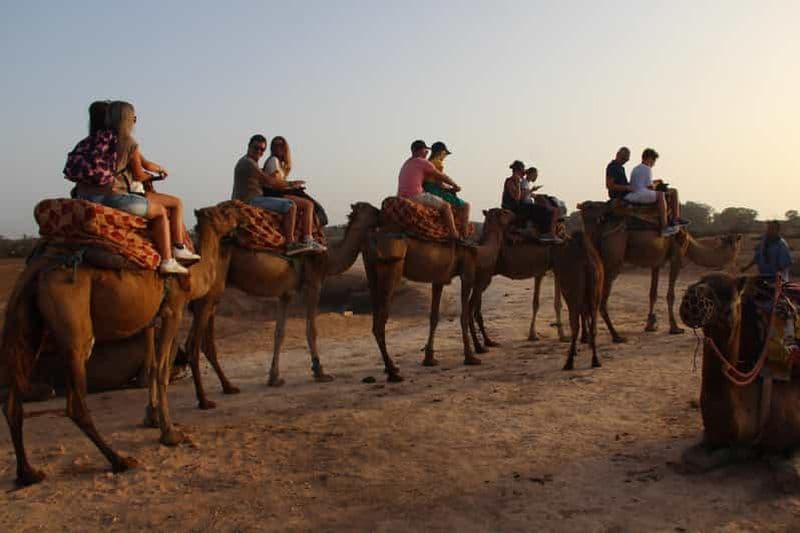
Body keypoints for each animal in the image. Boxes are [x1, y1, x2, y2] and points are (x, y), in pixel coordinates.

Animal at [0, 205, 242, 485]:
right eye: (225, 213)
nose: (239, 219)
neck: (193, 275)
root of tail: (36, 270)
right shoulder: (173, 309)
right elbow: (161, 370)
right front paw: (170, 433)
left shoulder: (150, 319)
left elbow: (151, 367)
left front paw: (151, 418)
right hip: (73, 322)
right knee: (74, 402)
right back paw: (120, 460)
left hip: (31, 327)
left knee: (14, 399)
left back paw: (28, 473)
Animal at [180, 202, 380, 409]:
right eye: (370, 209)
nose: (380, 212)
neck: (328, 256)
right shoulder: (314, 284)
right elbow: (311, 329)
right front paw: (320, 372)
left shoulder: (286, 293)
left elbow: (279, 333)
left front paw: (274, 378)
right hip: (211, 287)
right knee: (193, 343)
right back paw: (204, 400)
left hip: (215, 290)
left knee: (206, 340)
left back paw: (228, 387)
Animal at [363, 208, 515, 382]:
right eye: (504, 212)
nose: (514, 215)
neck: (479, 251)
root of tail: (371, 239)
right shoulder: (467, 273)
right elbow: (464, 315)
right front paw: (471, 357)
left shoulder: (439, 279)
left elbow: (434, 317)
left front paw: (429, 359)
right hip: (391, 268)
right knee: (380, 322)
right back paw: (393, 372)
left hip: (371, 272)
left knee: (375, 314)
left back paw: (392, 368)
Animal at [580, 204, 742, 342]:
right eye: (736, 242)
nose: (736, 262)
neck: (689, 242)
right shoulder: (677, 257)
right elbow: (670, 295)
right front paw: (675, 328)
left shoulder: (656, 262)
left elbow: (653, 293)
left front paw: (650, 325)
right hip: (613, 255)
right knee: (600, 298)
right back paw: (616, 336)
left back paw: (586, 337)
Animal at [678, 273, 800, 479]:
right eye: (701, 281)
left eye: (729, 304)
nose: (691, 296)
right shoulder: (712, 437)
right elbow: (691, 460)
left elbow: (789, 473)